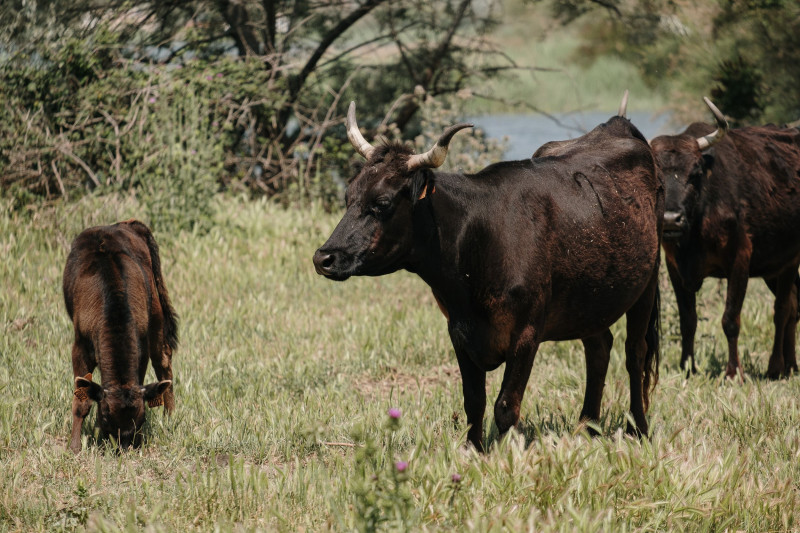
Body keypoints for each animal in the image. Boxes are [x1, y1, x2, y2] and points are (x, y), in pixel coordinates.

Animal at [65, 218, 179, 450]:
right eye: (106, 417)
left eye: (141, 419)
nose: (125, 446)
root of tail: (122, 224)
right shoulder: (80, 346)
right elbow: (82, 400)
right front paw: (75, 447)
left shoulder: (141, 347)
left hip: (156, 311)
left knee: (163, 360)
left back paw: (170, 417)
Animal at [312, 94, 664, 448]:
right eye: (348, 196)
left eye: (382, 203)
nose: (323, 257)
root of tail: (616, 124)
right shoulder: (458, 330)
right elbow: (474, 400)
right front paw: (474, 450)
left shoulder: (526, 333)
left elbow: (505, 405)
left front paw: (508, 453)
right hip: (589, 296)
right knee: (599, 347)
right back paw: (586, 427)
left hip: (647, 280)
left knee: (635, 354)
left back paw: (639, 429)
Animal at [648, 96, 800, 378]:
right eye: (656, 174)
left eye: (695, 173)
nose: (670, 219)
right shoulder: (674, 266)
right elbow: (688, 320)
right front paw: (687, 367)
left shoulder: (740, 259)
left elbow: (730, 319)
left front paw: (733, 372)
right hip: (773, 267)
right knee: (793, 306)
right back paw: (791, 365)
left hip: (789, 260)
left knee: (783, 310)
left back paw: (776, 367)